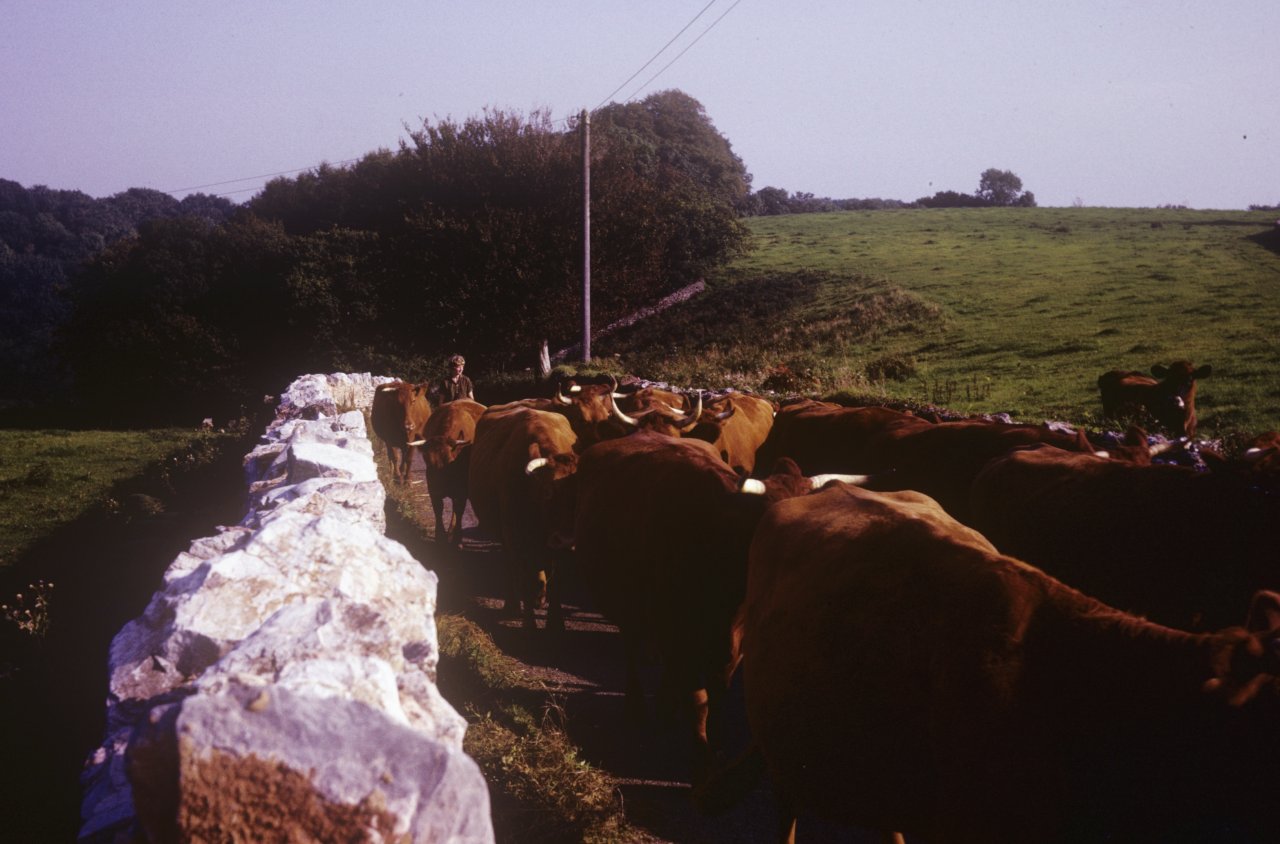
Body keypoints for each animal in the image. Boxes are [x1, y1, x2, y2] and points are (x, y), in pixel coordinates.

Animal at [419, 399, 483, 545]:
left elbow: (459, 510)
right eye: (426, 459)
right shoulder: (432, 489)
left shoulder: (462, 490)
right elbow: (438, 509)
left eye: (450, 460)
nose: (439, 488)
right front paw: (440, 537)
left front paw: (457, 539)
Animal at [468, 407, 578, 630]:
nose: (567, 539)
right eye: (547, 491)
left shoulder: (558, 551)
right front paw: (529, 626)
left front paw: (556, 624)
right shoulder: (515, 540)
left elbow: (556, 582)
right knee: (512, 570)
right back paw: (512, 606)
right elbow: (524, 580)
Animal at [565, 435, 865, 783]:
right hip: (625, 603)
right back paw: (638, 708)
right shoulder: (674, 631)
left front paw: (718, 742)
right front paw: (702, 757)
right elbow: (699, 698)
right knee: (631, 646)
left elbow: (719, 691)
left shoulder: (735, 643)